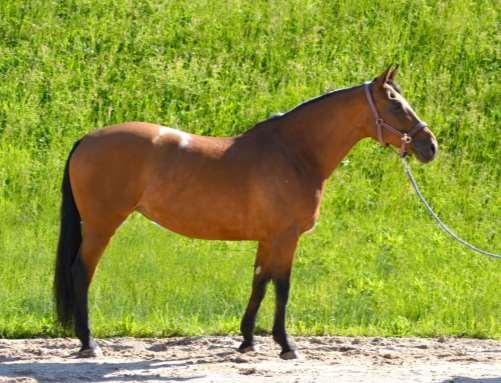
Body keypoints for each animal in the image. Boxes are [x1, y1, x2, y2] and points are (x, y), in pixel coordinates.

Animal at [54, 67, 436, 360]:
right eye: (396, 104)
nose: (429, 146)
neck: (294, 153)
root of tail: (88, 138)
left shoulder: (268, 238)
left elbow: (260, 282)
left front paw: (248, 340)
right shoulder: (286, 237)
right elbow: (282, 286)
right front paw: (286, 345)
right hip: (102, 225)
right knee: (81, 272)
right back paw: (88, 343)